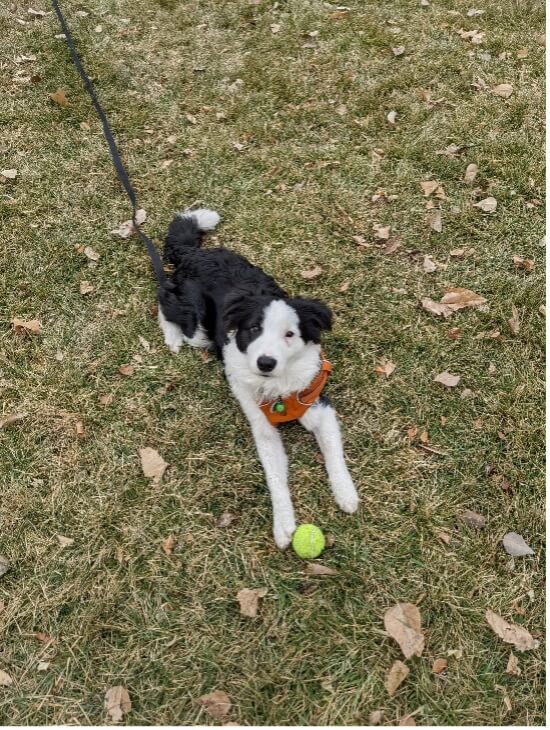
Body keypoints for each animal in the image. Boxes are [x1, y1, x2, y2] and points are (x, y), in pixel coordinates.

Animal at [157, 208, 360, 544]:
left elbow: (334, 454)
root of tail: (194, 254)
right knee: (163, 298)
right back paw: (172, 335)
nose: (266, 362)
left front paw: (345, 492)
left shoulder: (319, 406)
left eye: (290, 334)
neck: (275, 386)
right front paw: (283, 524)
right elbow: (275, 478)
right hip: (197, 327)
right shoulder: (263, 428)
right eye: (254, 329)